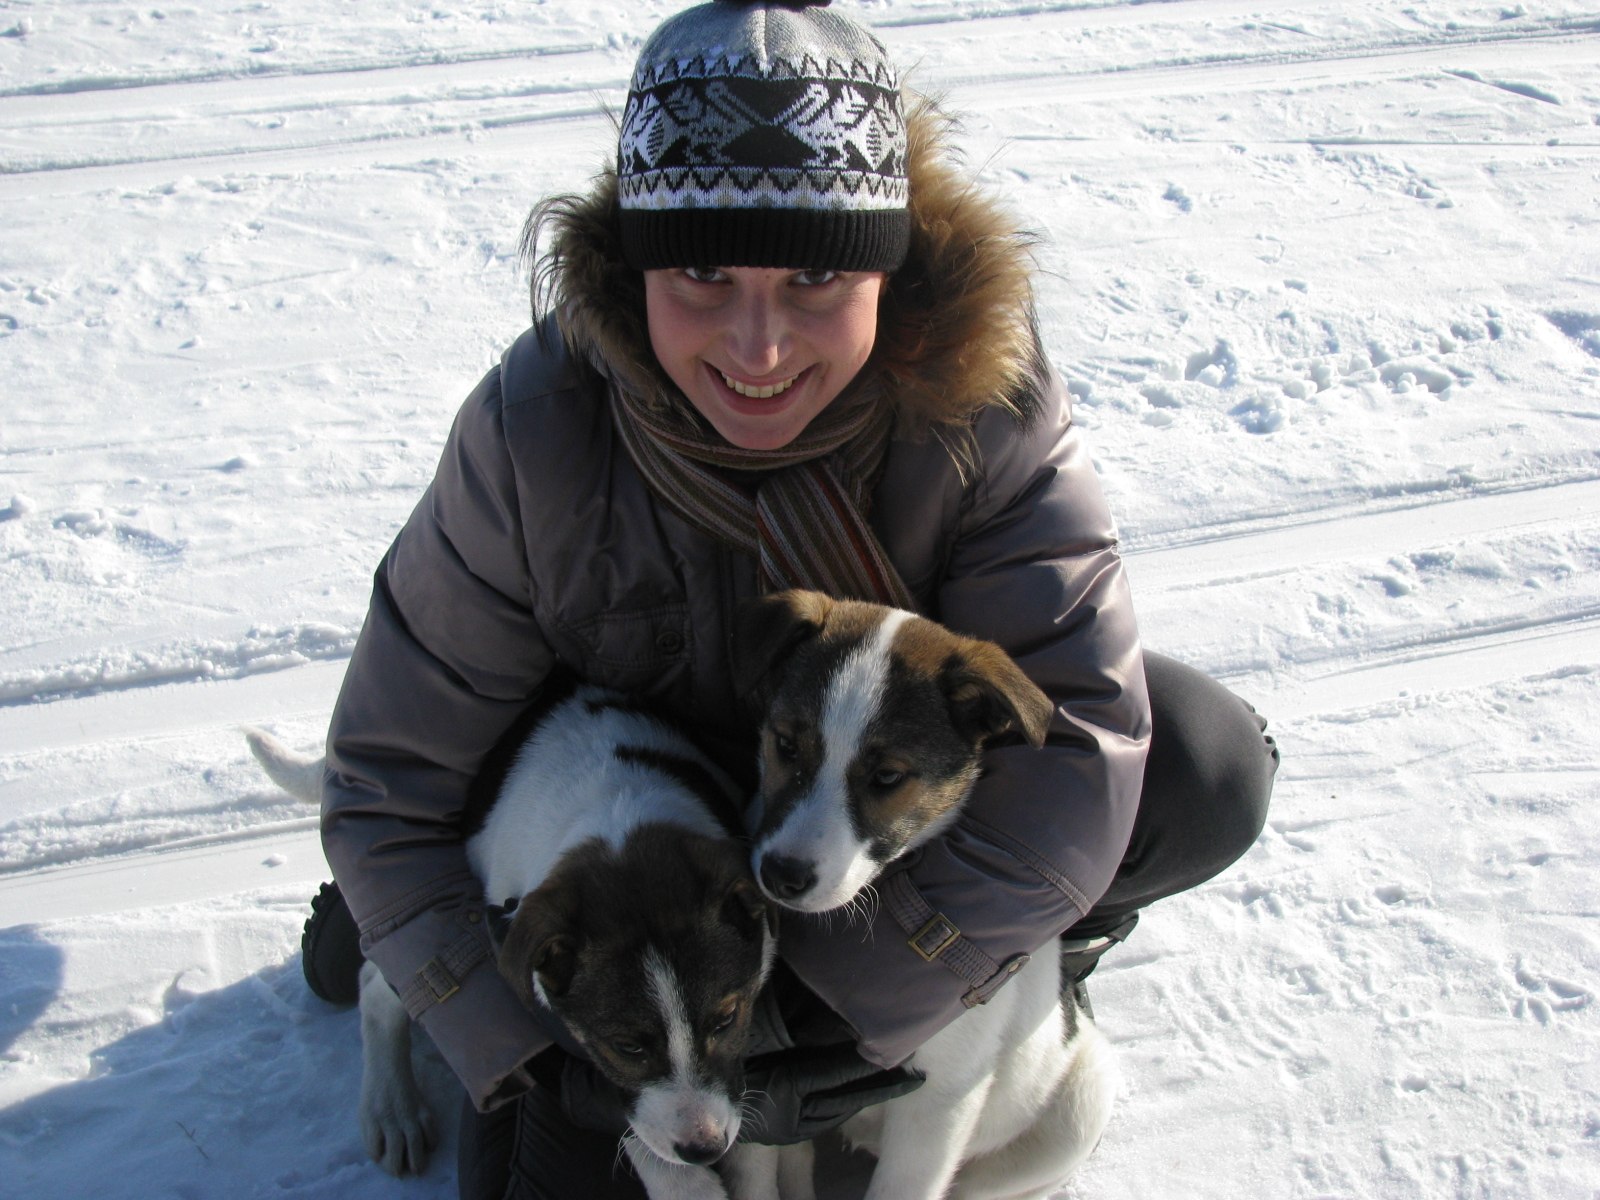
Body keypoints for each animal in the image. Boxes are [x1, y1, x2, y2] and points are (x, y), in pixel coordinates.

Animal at [247, 684, 790, 1200]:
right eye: (627, 1046)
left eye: (726, 1018)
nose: (703, 1147)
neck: (621, 813)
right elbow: (624, 1110)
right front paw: (682, 1182)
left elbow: (755, 1148)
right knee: (380, 984)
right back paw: (391, 1108)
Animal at [733, 590, 1119, 1200]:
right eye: (786, 745)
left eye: (889, 777)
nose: (782, 877)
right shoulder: (757, 1084)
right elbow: (758, 1167)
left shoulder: (941, 1097)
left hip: (1082, 1101)